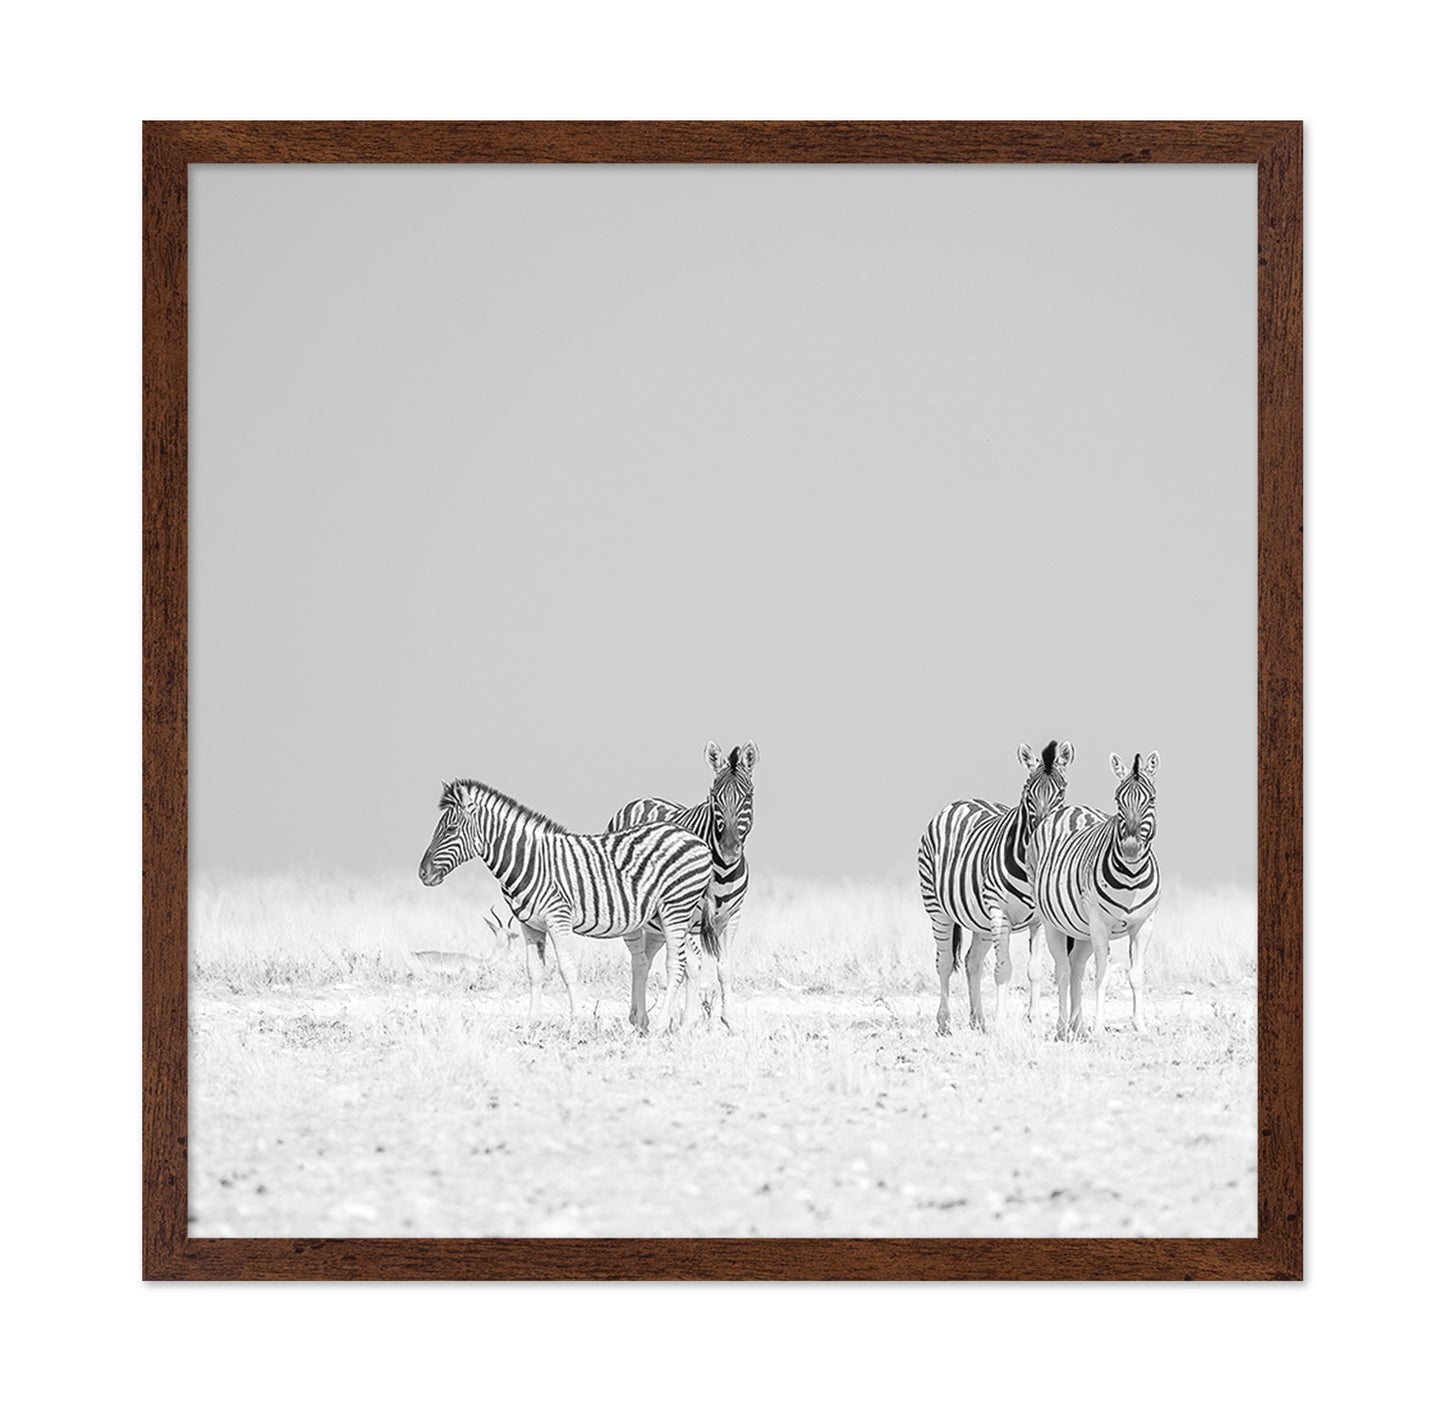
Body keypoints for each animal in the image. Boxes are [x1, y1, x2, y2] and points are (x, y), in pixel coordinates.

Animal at [417, 779, 714, 1032]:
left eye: (450, 829)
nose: (422, 873)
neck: (530, 861)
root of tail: (697, 839)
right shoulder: (529, 925)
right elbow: (535, 973)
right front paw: (530, 1023)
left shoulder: (558, 919)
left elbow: (567, 970)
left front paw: (575, 1024)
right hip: (674, 916)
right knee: (692, 963)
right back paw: (684, 1026)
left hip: (675, 908)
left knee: (676, 964)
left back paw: (662, 1026)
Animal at [606, 740, 757, 1030]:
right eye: (714, 798)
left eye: (748, 796)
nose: (729, 849)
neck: (722, 871)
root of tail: (641, 799)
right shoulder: (687, 917)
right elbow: (692, 967)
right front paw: (688, 1022)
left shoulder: (732, 917)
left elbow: (724, 967)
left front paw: (730, 1020)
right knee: (639, 958)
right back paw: (640, 1019)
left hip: (657, 923)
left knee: (647, 956)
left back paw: (639, 1017)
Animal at [918, 740, 1074, 1034]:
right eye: (1028, 792)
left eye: (1061, 791)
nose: (1041, 834)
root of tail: (962, 801)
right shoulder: (999, 912)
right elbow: (1003, 970)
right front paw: (1000, 1023)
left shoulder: (1040, 919)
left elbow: (1035, 969)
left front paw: (1034, 1018)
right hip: (938, 908)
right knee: (944, 963)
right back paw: (944, 1023)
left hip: (980, 920)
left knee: (972, 962)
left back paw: (978, 1020)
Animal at [1031, 751, 1162, 1038]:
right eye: (1117, 799)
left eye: (1151, 799)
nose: (1131, 848)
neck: (1132, 876)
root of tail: (1070, 808)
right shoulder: (1100, 925)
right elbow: (1103, 975)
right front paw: (1100, 1027)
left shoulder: (1144, 924)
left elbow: (1136, 975)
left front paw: (1140, 1025)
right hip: (1053, 923)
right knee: (1063, 969)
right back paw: (1062, 1027)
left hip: (1082, 931)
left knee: (1076, 968)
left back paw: (1077, 1025)